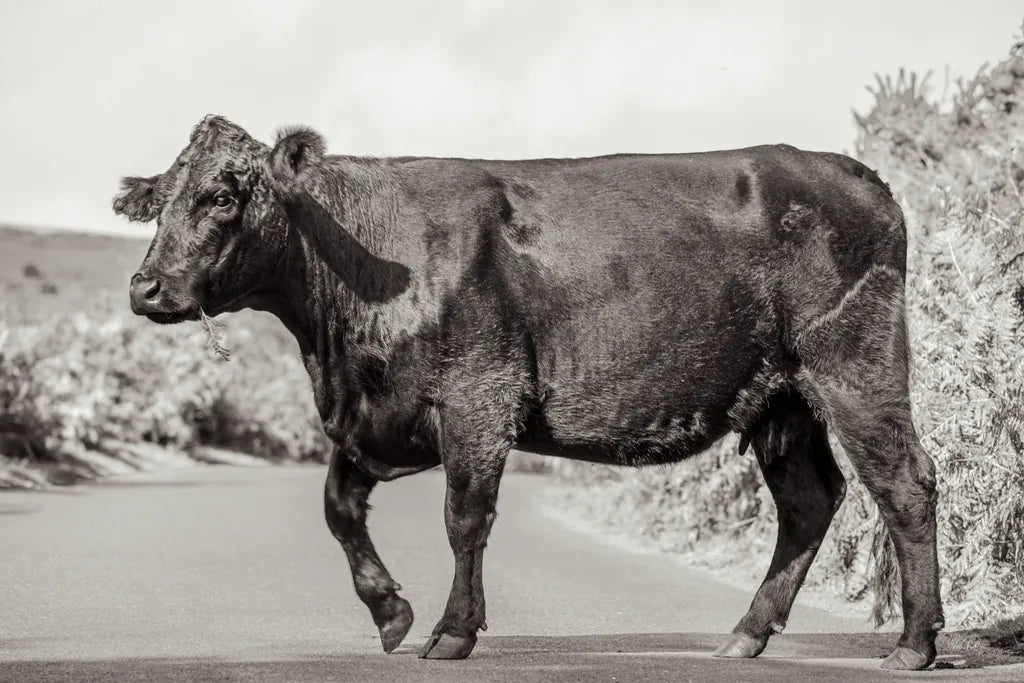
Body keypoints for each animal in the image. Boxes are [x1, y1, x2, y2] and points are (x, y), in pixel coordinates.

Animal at [114, 115, 942, 670]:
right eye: (162, 199)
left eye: (224, 196)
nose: (145, 287)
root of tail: (858, 175)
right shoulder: (380, 417)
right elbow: (338, 506)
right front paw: (389, 610)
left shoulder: (478, 397)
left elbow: (464, 517)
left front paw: (451, 629)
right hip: (782, 399)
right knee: (809, 501)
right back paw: (747, 632)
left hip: (853, 362)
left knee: (905, 483)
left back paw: (915, 641)